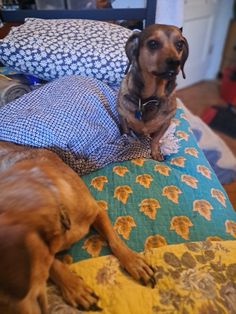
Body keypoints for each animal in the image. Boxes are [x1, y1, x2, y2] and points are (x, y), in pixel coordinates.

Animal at [117, 24, 189, 161]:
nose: (175, 62)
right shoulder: (123, 116)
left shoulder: (165, 123)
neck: (149, 99)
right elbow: (126, 132)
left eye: (179, 44)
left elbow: (155, 139)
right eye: (153, 43)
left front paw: (156, 152)